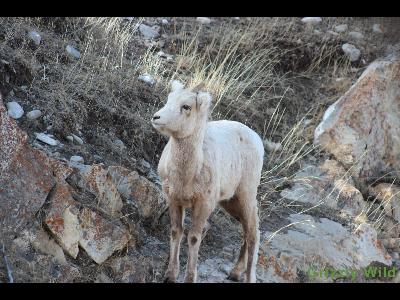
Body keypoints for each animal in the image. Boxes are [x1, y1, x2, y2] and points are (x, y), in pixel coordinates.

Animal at [152, 79, 264, 282]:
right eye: (169, 99)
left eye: (186, 106)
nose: (157, 117)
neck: (186, 176)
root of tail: (256, 138)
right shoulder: (173, 199)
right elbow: (176, 231)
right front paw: (170, 275)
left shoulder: (204, 203)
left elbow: (194, 237)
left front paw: (190, 277)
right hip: (230, 201)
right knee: (245, 230)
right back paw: (235, 273)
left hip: (247, 195)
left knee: (253, 233)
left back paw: (247, 277)